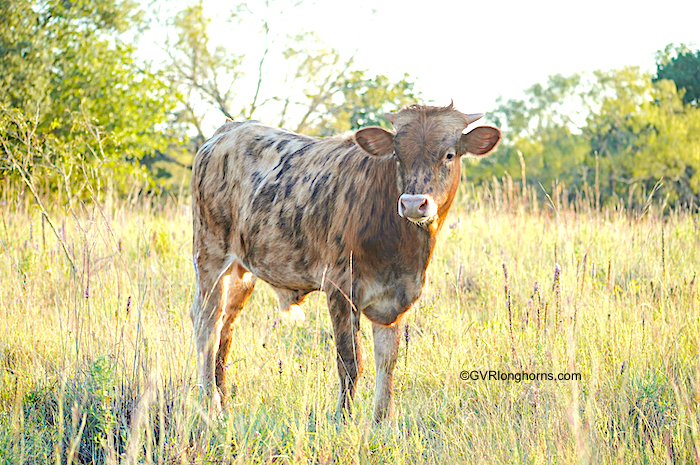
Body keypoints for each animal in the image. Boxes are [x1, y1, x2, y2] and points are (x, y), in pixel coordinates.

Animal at [189, 102, 500, 420]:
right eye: (397, 155)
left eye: (449, 154)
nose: (413, 203)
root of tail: (229, 128)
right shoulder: (340, 287)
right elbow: (351, 361)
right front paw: (343, 418)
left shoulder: (397, 295)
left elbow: (387, 360)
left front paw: (383, 420)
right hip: (210, 254)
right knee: (207, 326)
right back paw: (209, 405)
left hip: (242, 271)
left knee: (226, 330)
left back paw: (224, 402)